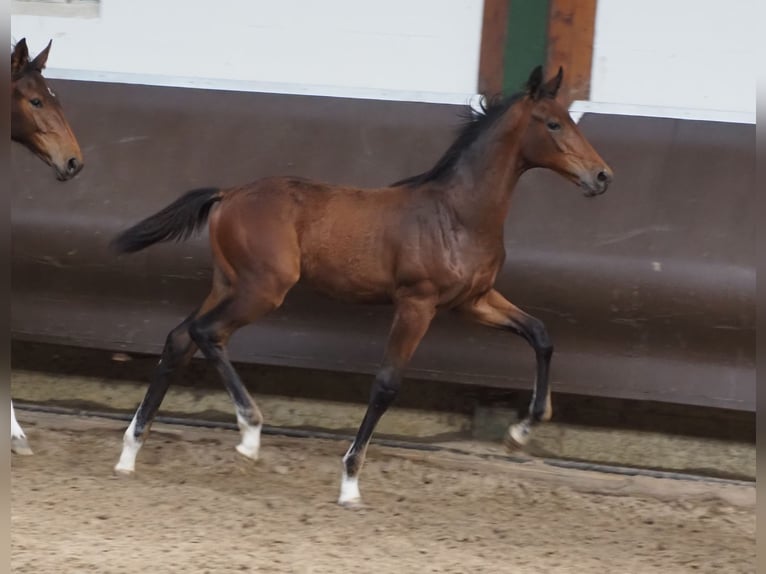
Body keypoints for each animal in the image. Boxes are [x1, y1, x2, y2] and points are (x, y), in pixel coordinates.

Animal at [111, 66, 616, 508]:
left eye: (572, 118)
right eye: (553, 123)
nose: (602, 176)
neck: (457, 214)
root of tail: (229, 194)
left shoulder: (473, 301)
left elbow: (540, 334)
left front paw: (522, 430)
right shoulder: (417, 303)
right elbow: (387, 384)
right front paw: (350, 484)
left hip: (228, 283)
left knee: (180, 338)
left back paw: (130, 453)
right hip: (264, 289)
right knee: (206, 333)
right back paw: (249, 433)